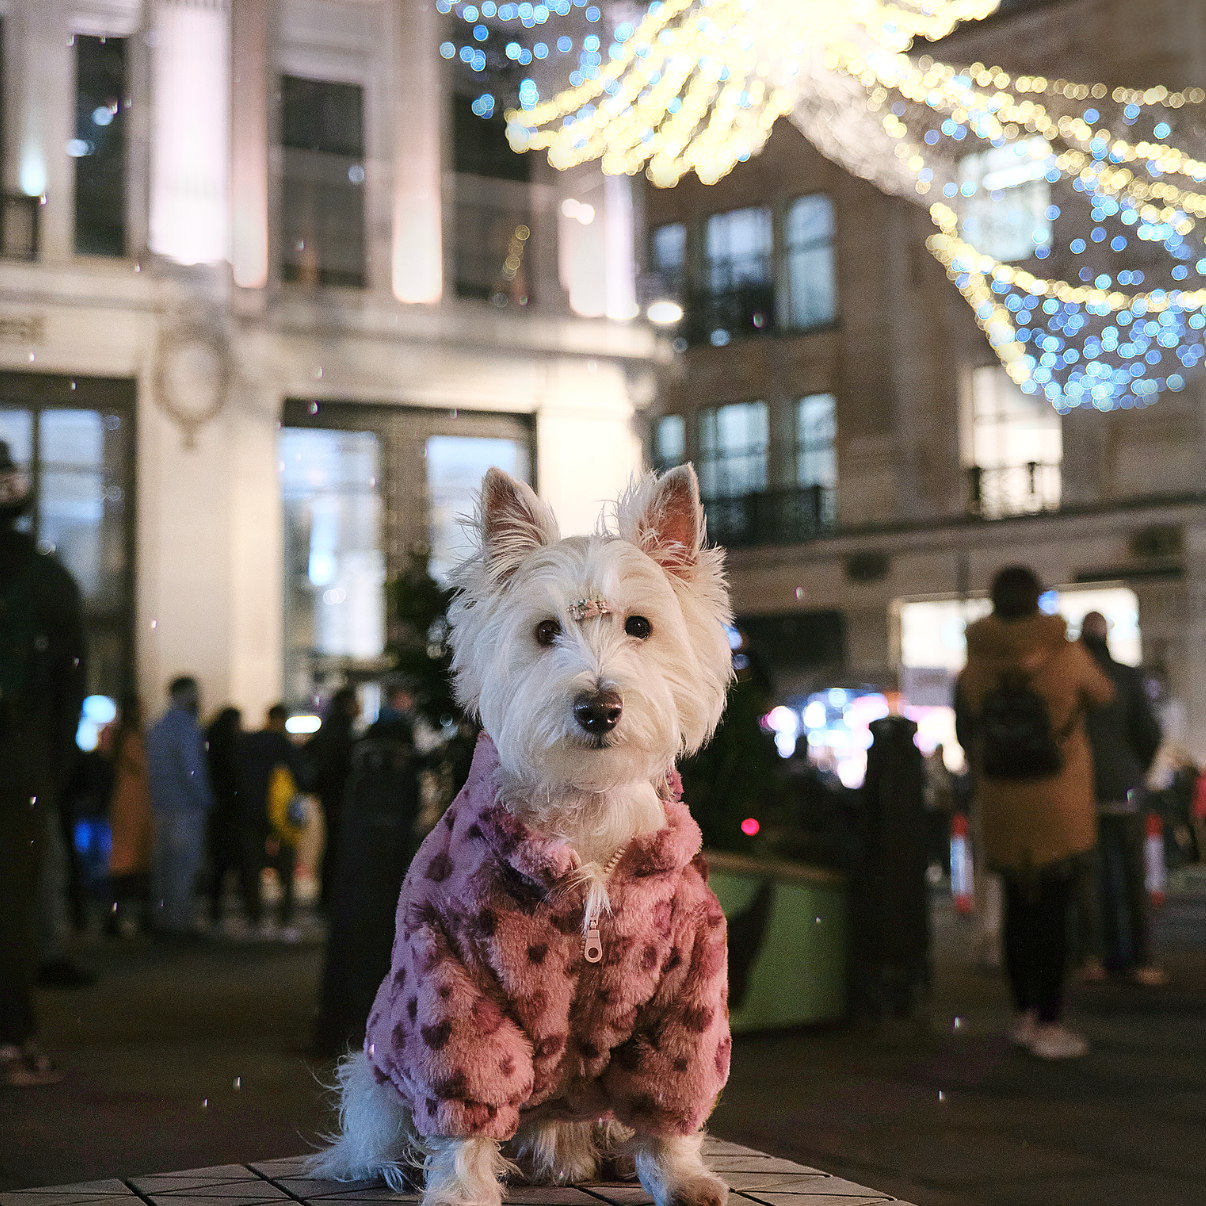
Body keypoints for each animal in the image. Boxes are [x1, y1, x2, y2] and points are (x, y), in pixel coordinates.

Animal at [308, 465, 733, 1206]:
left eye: (641, 626)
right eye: (544, 631)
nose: (599, 707)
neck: (587, 816)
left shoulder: (689, 980)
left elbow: (672, 1091)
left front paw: (681, 1175)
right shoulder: (451, 971)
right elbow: (466, 1100)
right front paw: (459, 1189)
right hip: (379, 1060)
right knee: (376, 1124)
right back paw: (390, 1164)